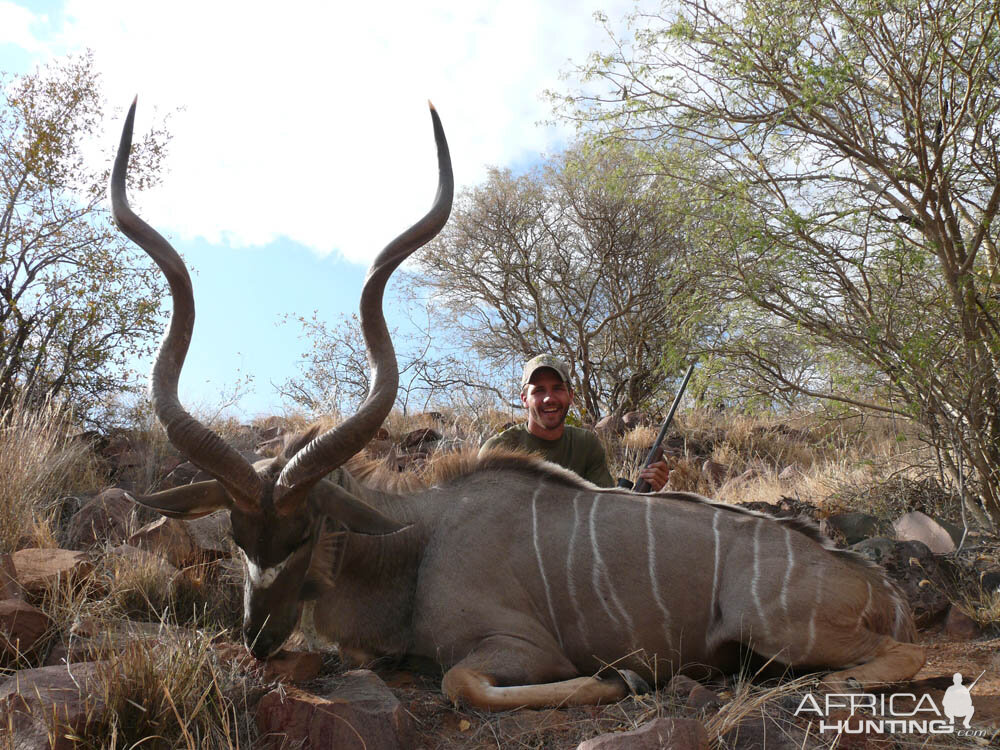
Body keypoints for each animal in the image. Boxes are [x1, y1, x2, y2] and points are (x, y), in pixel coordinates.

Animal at [111, 98, 920, 712]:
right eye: (237, 535)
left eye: (306, 530)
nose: (257, 638)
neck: (416, 539)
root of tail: (878, 586)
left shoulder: (516, 647)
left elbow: (464, 683)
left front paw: (621, 679)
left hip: (782, 630)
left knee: (895, 661)